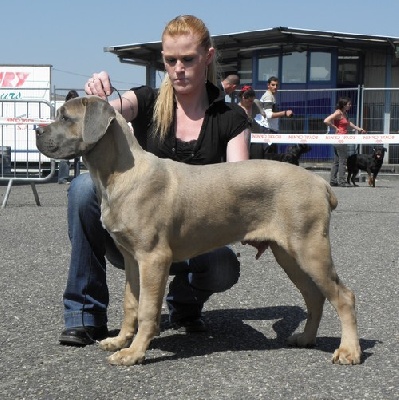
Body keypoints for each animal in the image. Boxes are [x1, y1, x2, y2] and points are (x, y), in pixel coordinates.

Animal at [35, 96, 362, 366]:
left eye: (65, 117)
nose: (37, 130)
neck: (120, 174)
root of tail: (320, 183)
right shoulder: (131, 258)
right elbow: (130, 303)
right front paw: (120, 341)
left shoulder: (153, 258)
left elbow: (147, 309)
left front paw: (135, 353)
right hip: (288, 254)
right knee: (315, 296)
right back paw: (305, 338)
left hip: (310, 248)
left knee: (344, 296)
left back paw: (349, 351)